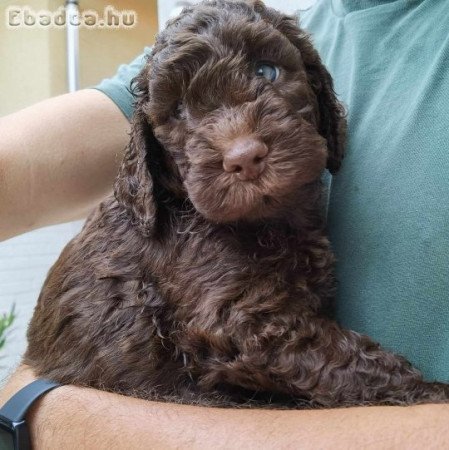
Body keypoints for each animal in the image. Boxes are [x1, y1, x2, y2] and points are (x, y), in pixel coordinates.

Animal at [25, 0, 448, 408]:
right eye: (178, 111)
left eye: (266, 71)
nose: (244, 158)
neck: (267, 222)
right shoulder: (237, 322)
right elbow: (344, 357)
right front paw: (431, 391)